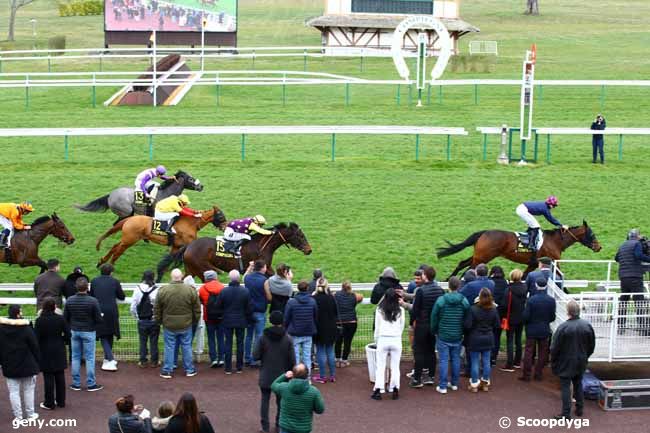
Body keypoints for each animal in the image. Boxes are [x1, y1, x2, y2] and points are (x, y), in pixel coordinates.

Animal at [95, 205, 227, 274]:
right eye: (221, 215)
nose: (225, 226)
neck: (191, 224)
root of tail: (129, 219)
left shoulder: (176, 246)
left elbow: (171, 258)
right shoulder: (190, 245)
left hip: (127, 239)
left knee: (115, 247)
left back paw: (101, 262)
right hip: (130, 240)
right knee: (118, 250)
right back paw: (110, 265)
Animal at [181, 223, 312, 280]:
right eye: (300, 236)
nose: (309, 250)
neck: (262, 246)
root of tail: (188, 246)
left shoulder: (267, 267)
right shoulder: (261, 267)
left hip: (191, 270)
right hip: (204, 269)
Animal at [432, 219, 600, 276]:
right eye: (592, 234)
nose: (599, 247)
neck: (556, 240)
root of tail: (483, 232)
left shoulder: (533, 264)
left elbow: (525, 277)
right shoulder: (554, 262)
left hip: (479, 256)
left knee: (463, 264)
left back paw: (448, 280)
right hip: (484, 257)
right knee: (468, 270)